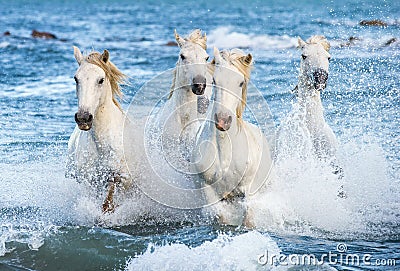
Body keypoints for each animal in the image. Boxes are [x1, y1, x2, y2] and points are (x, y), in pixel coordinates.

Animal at [66, 47, 137, 215]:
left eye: (101, 80)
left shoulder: (124, 179)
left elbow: (112, 189)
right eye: (76, 79)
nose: (83, 118)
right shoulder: (89, 181)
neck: (103, 145)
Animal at [192, 47, 274, 226]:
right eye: (215, 80)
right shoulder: (210, 193)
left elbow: (248, 219)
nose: (223, 121)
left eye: (241, 82)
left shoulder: (248, 191)